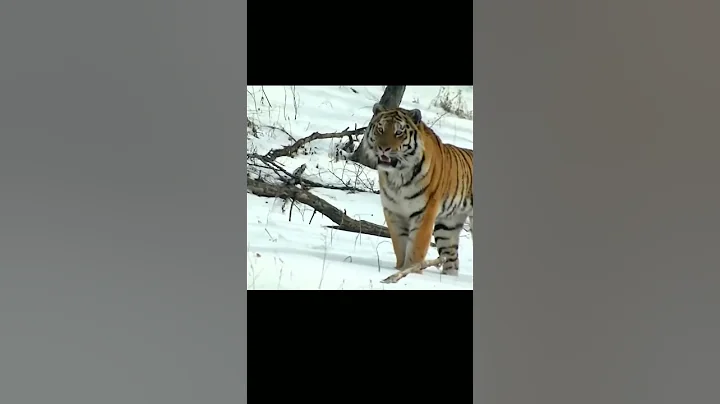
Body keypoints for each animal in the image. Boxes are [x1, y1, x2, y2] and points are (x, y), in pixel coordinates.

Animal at [365, 103, 473, 276]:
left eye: (399, 132)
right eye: (380, 129)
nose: (383, 148)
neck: (397, 176)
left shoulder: (424, 212)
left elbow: (416, 246)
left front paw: (411, 272)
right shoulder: (393, 211)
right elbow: (399, 244)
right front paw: (399, 269)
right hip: (447, 226)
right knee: (451, 258)